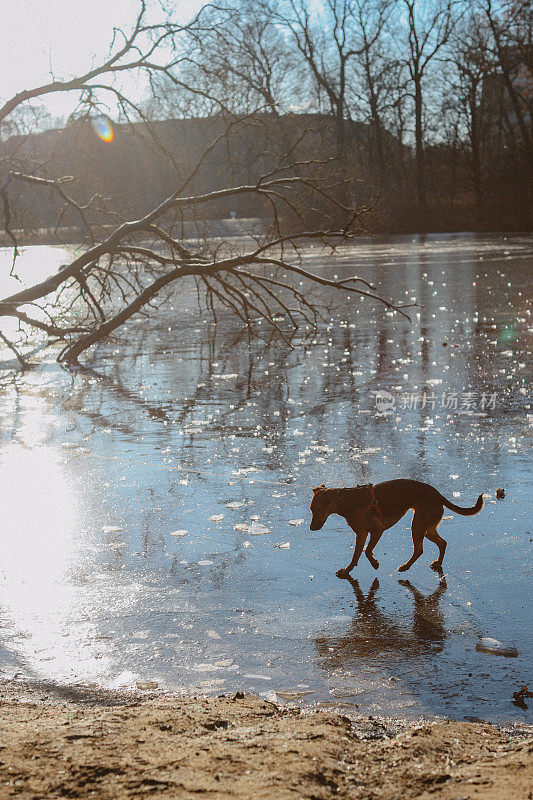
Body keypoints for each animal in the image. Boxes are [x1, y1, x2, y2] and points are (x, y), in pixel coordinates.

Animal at [310, 478, 484, 580]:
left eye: (316, 510)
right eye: (311, 509)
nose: (311, 529)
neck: (346, 501)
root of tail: (438, 494)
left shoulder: (377, 530)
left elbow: (367, 551)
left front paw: (374, 563)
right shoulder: (361, 533)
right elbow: (356, 555)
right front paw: (347, 571)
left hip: (417, 526)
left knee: (419, 550)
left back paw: (405, 566)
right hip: (427, 528)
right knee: (443, 543)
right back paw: (437, 563)